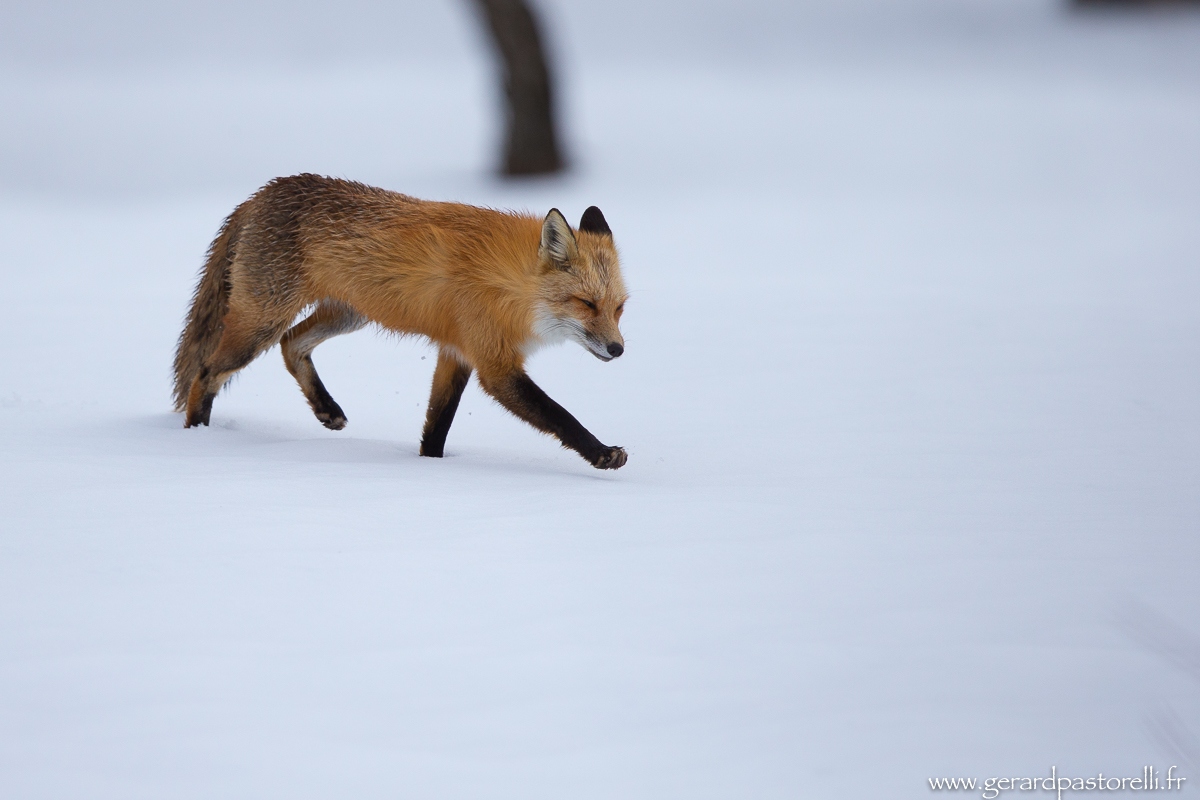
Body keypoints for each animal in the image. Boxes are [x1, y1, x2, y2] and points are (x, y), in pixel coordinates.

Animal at [172, 174, 629, 470]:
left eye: (619, 308)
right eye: (586, 303)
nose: (618, 349)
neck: (508, 285)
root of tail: (267, 189)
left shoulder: (457, 352)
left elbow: (436, 427)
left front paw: (428, 471)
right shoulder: (494, 365)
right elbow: (559, 415)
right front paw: (603, 453)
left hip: (347, 315)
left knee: (291, 343)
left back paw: (325, 409)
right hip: (261, 325)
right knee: (205, 373)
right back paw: (196, 439)